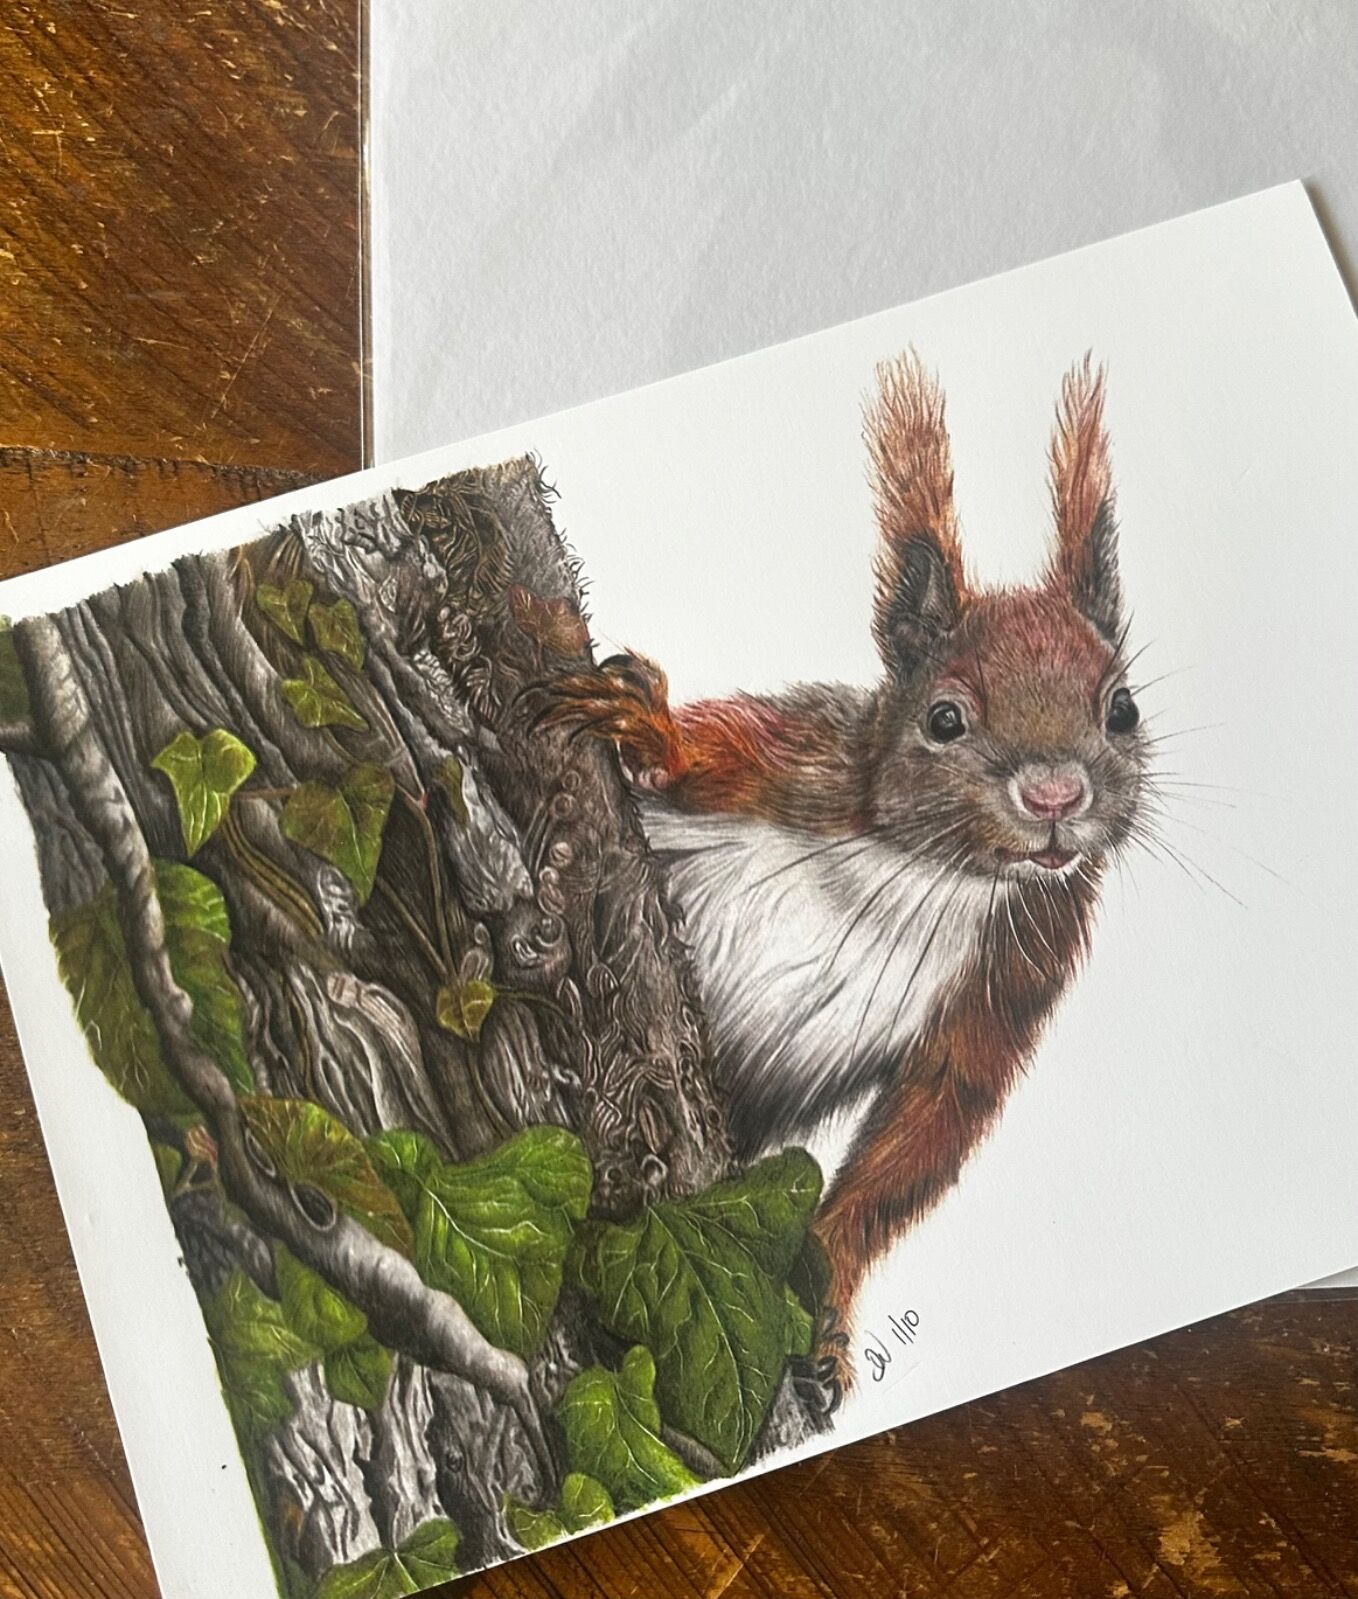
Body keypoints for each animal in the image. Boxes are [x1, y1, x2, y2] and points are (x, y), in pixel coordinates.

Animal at [542, 353, 1149, 1384]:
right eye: (943, 718)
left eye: (1123, 709)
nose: (1056, 797)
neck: (932, 870)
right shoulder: (802, 762)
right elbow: (714, 744)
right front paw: (652, 731)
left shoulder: (1015, 970)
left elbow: (921, 1137)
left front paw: (825, 1291)